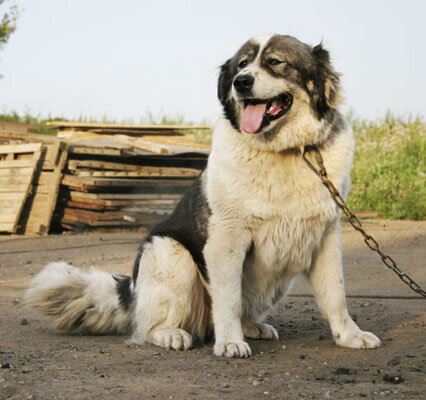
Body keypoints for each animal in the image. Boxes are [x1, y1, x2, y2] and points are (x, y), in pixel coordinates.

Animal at [25, 34, 382, 358]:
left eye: (275, 62)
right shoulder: (226, 240)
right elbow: (227, 299)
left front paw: (349, 335)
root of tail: (131, 292)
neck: (287, 152)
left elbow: (336, 294)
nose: (241, 82)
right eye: (241, 64)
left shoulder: (325, 236)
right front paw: (230, 343)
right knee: (148, 328)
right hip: (169, 252)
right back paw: (173, 334)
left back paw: (253, 328)